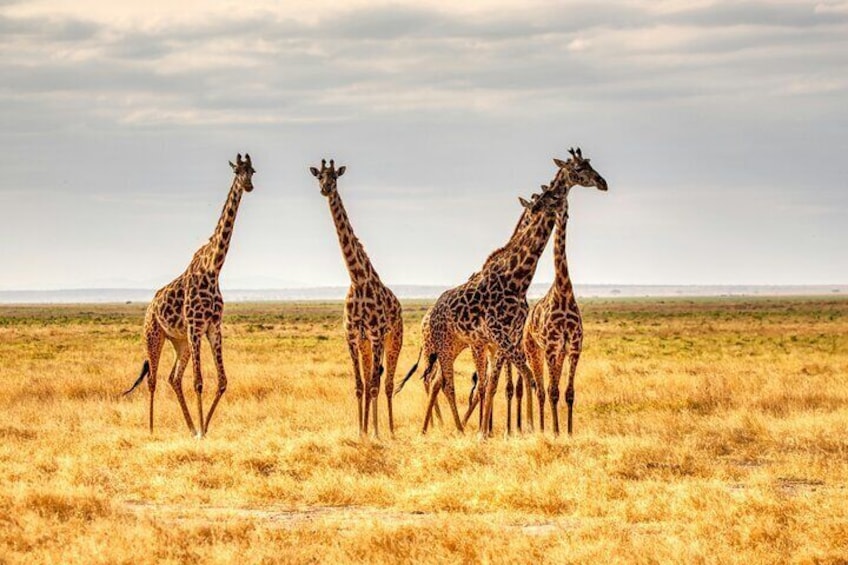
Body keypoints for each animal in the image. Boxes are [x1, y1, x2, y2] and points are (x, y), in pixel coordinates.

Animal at [122, 151, 255, 436]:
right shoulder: (196, 326)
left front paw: (203, 429)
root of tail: (149, 307)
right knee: (153, 379)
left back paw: (190, 426)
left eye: (253, 171)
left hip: (179, 341)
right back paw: (151, 429)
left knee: (173, 377)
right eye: (237, 171)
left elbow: (222, 381)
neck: (213, 268)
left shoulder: (213, 327)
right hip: (154, 334)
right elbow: (199, 381)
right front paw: (203, 432)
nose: (249, 186)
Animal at [312, 159, 404, 436]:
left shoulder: (375, 336)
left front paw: (375, 432)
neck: (358, 280)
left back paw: (390, 430)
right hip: (366, 345)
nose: (325, 188)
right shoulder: (352, 337)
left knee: (387, 383)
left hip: (393, 339)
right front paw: (360, 432)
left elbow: (373, 385)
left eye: (335, 177)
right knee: (371, 379)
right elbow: (359, 386)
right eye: (319, 176)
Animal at [400, 183, 568, 434]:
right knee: (439, 381)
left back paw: (444, 426)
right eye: (545, 199)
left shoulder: (501, 341)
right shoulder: (492, 340)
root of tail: (427, 317)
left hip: (452, 346)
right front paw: (512, 428)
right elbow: (504, 382)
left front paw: (504, 428)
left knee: (439, 380)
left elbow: (500, 382)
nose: (559, 205)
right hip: (441, 347)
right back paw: (448, 427)